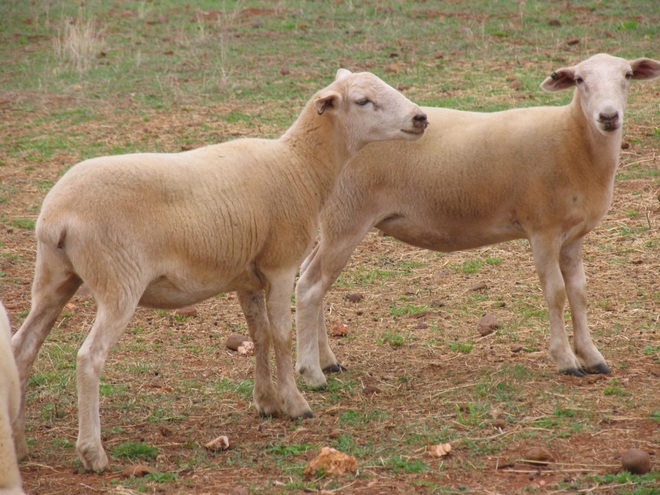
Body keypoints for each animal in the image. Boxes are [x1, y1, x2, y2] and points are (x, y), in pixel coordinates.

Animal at [10, 68, 429, 472]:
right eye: (362, 100)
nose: (420, 118)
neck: (300, 166)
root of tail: (57, 217)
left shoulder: (247, 277)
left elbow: (259, 334)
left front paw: (266, 402)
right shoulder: (280, 265)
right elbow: (281, 334)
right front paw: (295, 403)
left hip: (53, 279)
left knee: (22, 349)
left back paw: (19, 445)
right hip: (118, 282)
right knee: (89, 358)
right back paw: (93, 454)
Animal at [294, 53, 660, 388]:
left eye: (627, 76)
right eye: (581, 80)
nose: (608, 116)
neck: (572, 140)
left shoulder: (572, 236)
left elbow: (579, 293)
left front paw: (592, 356)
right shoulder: (542, 229)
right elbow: (555, 293)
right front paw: (566, 360)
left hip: (336, 221)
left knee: (311, 278)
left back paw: (327, 360)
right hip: (347, 218)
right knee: (311, 286)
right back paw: (312, 372)